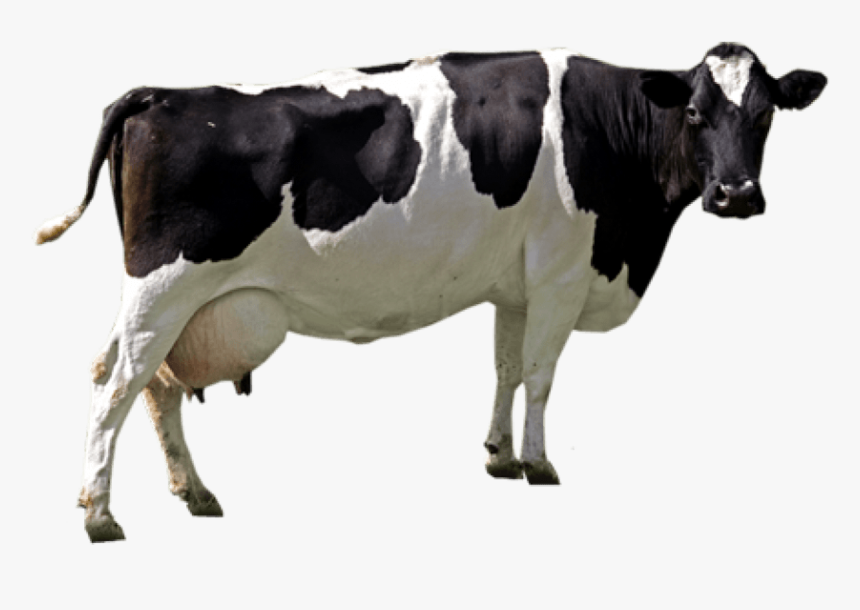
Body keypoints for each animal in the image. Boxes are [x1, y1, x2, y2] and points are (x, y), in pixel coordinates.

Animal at [35, 43, 826, 542]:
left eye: (765, 113)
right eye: (695, 113)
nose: (736, 194)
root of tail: (160, 94)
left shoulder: (516, 286)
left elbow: (506, 368)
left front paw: (499, 455)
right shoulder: (561, 273)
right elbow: (540, 375)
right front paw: (540, 464)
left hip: (169, 301)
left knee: (153, 386)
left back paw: (194, 493)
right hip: (165, 285)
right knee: (117, 382)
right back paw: (100, 515)